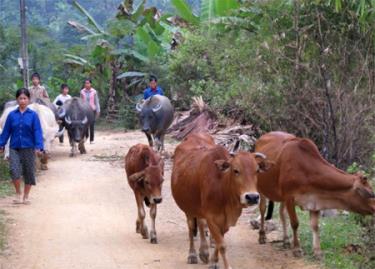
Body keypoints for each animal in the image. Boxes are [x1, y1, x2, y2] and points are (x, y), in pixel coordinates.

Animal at [170, 132, 270, 268]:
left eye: (257, 170)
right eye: (236, 170)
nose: (252, 197)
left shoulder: (224, 222)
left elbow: (219, 241)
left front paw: (214, 261)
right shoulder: (211, 218)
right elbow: (222, 244)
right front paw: (225, 265)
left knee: (200, 223)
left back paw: (204, 252)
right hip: (188, 208)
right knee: (191, 228)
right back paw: (193, 254)